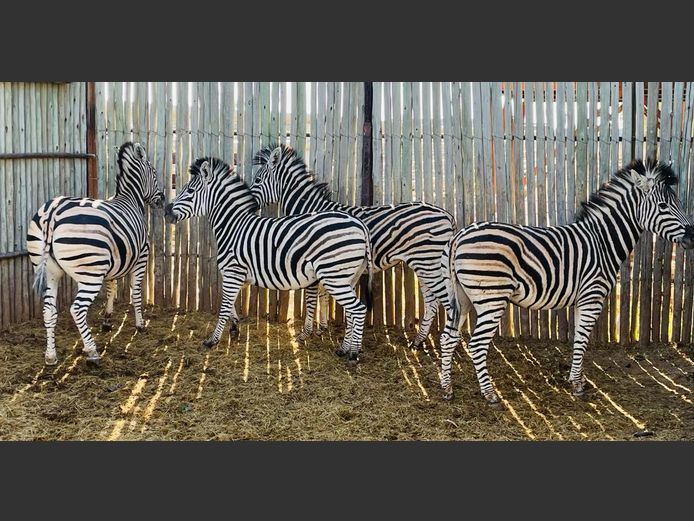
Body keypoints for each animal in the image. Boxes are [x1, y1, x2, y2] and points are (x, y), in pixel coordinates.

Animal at [26, 142, 165, 365]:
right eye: (153, 173)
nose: (162, 200)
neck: (130, 199)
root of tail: (53, 212)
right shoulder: (141, 256)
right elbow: (135, 292)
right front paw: (140, 324)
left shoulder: (113, 261)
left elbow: (111, 288)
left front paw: (107, 321)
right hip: (90, 273)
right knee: (77, 309)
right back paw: (91, 351)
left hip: (49, 270)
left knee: (49, 310)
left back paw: (50, 355)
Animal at [164, 156, 373, 360]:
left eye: (190, 190)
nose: (166, 211)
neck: (233, 227)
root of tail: (359, 223)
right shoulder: (237, 276)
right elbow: (230, 304)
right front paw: (235, 327)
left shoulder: (233, 272)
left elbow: (223, 306)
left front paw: (212, 340)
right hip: (348, 277)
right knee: (351, 312)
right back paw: (344, 349)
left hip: (334, 276)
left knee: (358, 309)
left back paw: (353, 353)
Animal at [250, 144, 456, 348]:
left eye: (258, 180)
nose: (249, 204)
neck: (311, 210)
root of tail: (447, 215)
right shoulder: (325, 265)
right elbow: (323, 295)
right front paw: (322, 327)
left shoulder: (315, 263)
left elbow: (311, 298)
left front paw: (305, 333)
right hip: (424, 265)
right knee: (432, 301)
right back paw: (418, 340)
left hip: (428, 263)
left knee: (447, 301)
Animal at [438, 158, 694, 405]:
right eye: (663, 207)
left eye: (679, 203)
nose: (692, 237)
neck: (603, 242)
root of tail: (459, 236)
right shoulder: (592, 297)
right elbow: (581, 339)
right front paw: (578, 386)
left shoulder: (583, 300)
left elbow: (578, 338)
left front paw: (575, 379)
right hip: (491, 297)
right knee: (477, 345)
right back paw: (489, 394)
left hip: (462, 298)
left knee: (448, 338)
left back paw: (447, 390)